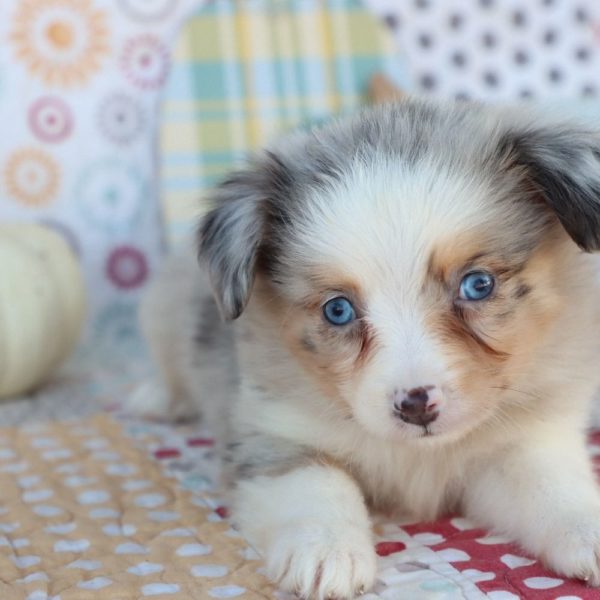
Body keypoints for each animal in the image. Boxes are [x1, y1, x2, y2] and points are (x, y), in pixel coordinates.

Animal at [136, 101, 600, 596]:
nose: (416, 406)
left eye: (478, 284)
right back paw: (159, 396)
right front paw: (327, 552)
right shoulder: (274, 435)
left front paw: (588, 527)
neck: (419, 455)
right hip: (163, 306)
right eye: (338, 309)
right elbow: (316, 487)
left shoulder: (521, 444)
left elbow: (554, 490)